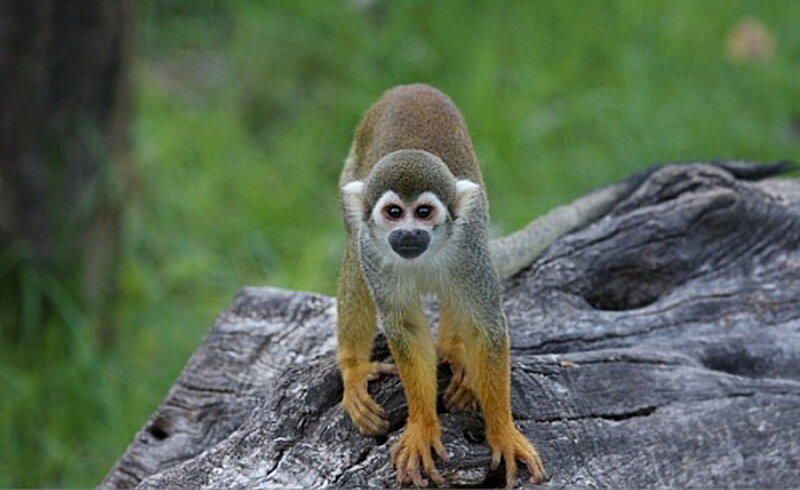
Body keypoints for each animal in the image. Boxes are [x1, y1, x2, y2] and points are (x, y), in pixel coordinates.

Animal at [336, 84, 633, 488]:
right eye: (394, 213)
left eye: (424, 213)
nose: (409, 234)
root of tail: (410, 87)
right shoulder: (375, 252)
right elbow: (407, 329)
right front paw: (423, 426)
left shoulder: (469, 244)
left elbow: (485, 326)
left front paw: (502, 432)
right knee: (354, 249)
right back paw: (354, 369)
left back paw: (454, 351)